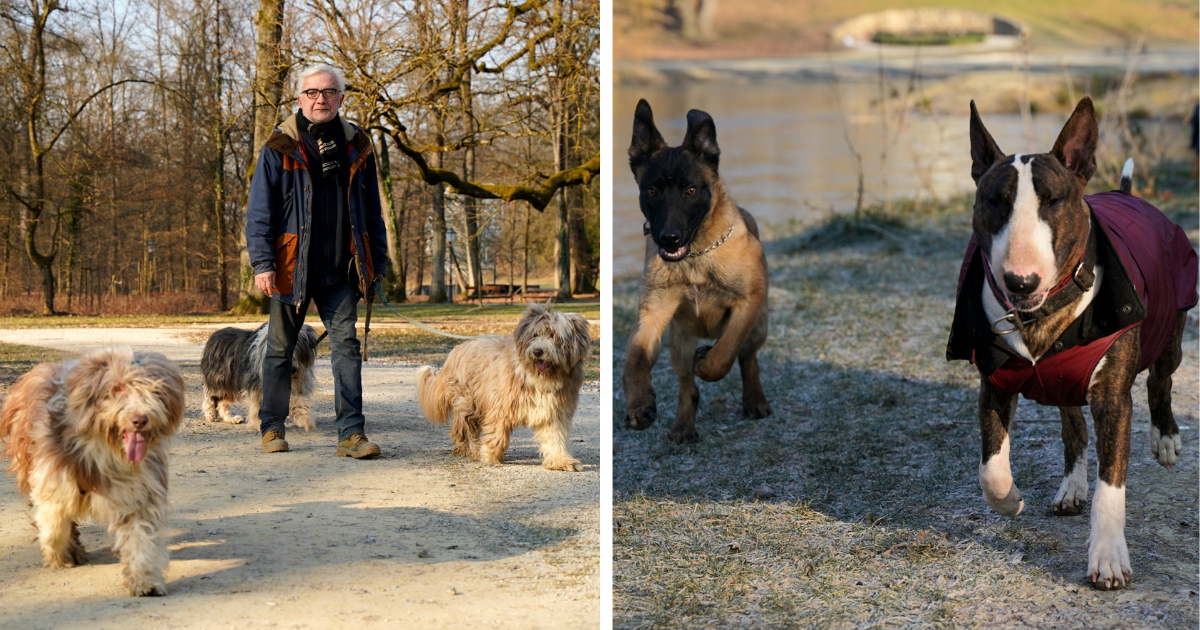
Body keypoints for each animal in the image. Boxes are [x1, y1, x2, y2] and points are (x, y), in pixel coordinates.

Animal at [0, 343, 184, 595]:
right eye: (117, 387)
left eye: (156, 390)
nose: (140, 419)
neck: (104, 446)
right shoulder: (53, 476)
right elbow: (53, 524)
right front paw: (57, 555)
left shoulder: (139, 490)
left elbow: (141, 535)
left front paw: (145, 580)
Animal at [417, 302, 590, 468]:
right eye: (534, 335)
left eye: (553, 335)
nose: (538, 351)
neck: (540, 378)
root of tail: (457, 350)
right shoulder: (502, 407)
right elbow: (497, 434)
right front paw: (491, 456)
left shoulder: (555, 411)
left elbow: (555, 436)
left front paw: (560, 461)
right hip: (468, 400)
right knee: (466, 426)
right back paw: (472, 449)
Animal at [619, 97, 768, 441]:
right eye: (651, 191)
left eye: (690, 190)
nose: (668, 238)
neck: (696, 258)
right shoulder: (652, 314)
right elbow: (634, 360)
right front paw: (638, 403)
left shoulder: (747, 303)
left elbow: (723, 355)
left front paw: (707, 361)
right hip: (678, 343)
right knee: (688, 387)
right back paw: (684, 426)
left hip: (759, 325)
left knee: (747, 358)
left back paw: (754, 399)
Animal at [950, 96, 1195, 588]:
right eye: (994, 201)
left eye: (1053, 201)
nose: (1020, 281)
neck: (1040, 315)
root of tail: (1126, 193)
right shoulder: (994, 383)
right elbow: (991, 470)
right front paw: (1011, 500)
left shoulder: (1113, 397)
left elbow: (1112, 486)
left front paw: (1108, 558)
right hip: (1062, 382)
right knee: (1073, 429)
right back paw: (1072, 487)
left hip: (1171, 331)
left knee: (1160, 380)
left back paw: (1164, 439)